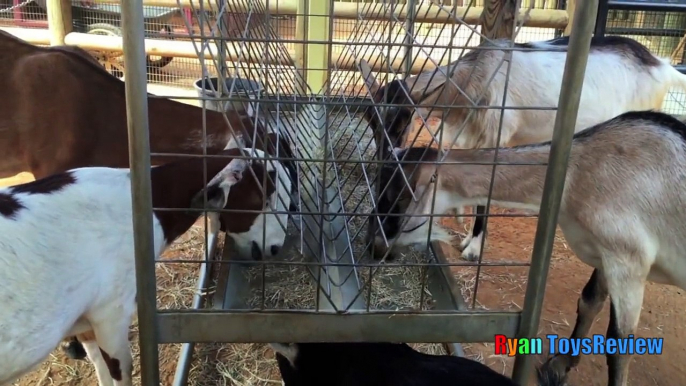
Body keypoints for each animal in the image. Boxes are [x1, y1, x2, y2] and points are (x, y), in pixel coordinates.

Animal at [0, 146, 274, 384]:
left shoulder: (86, 316)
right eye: (261, 195)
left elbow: (98, 363)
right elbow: (120, 370)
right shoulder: (111, 312)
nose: (273, 248)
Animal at [358, 34, 686, 262]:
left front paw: (473, 248)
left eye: (401, 120)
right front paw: (462, 225)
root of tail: (661, 66)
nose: (386, 159)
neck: (475, 77)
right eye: (371, 120)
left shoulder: (497, 135)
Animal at [374, 110, 686, 384]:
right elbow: (589, 301)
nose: (376, 248)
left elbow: (620, 344)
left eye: (397, 198)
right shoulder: (604, 253)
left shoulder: (628, 260)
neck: (580, 174)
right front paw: (560, 365)